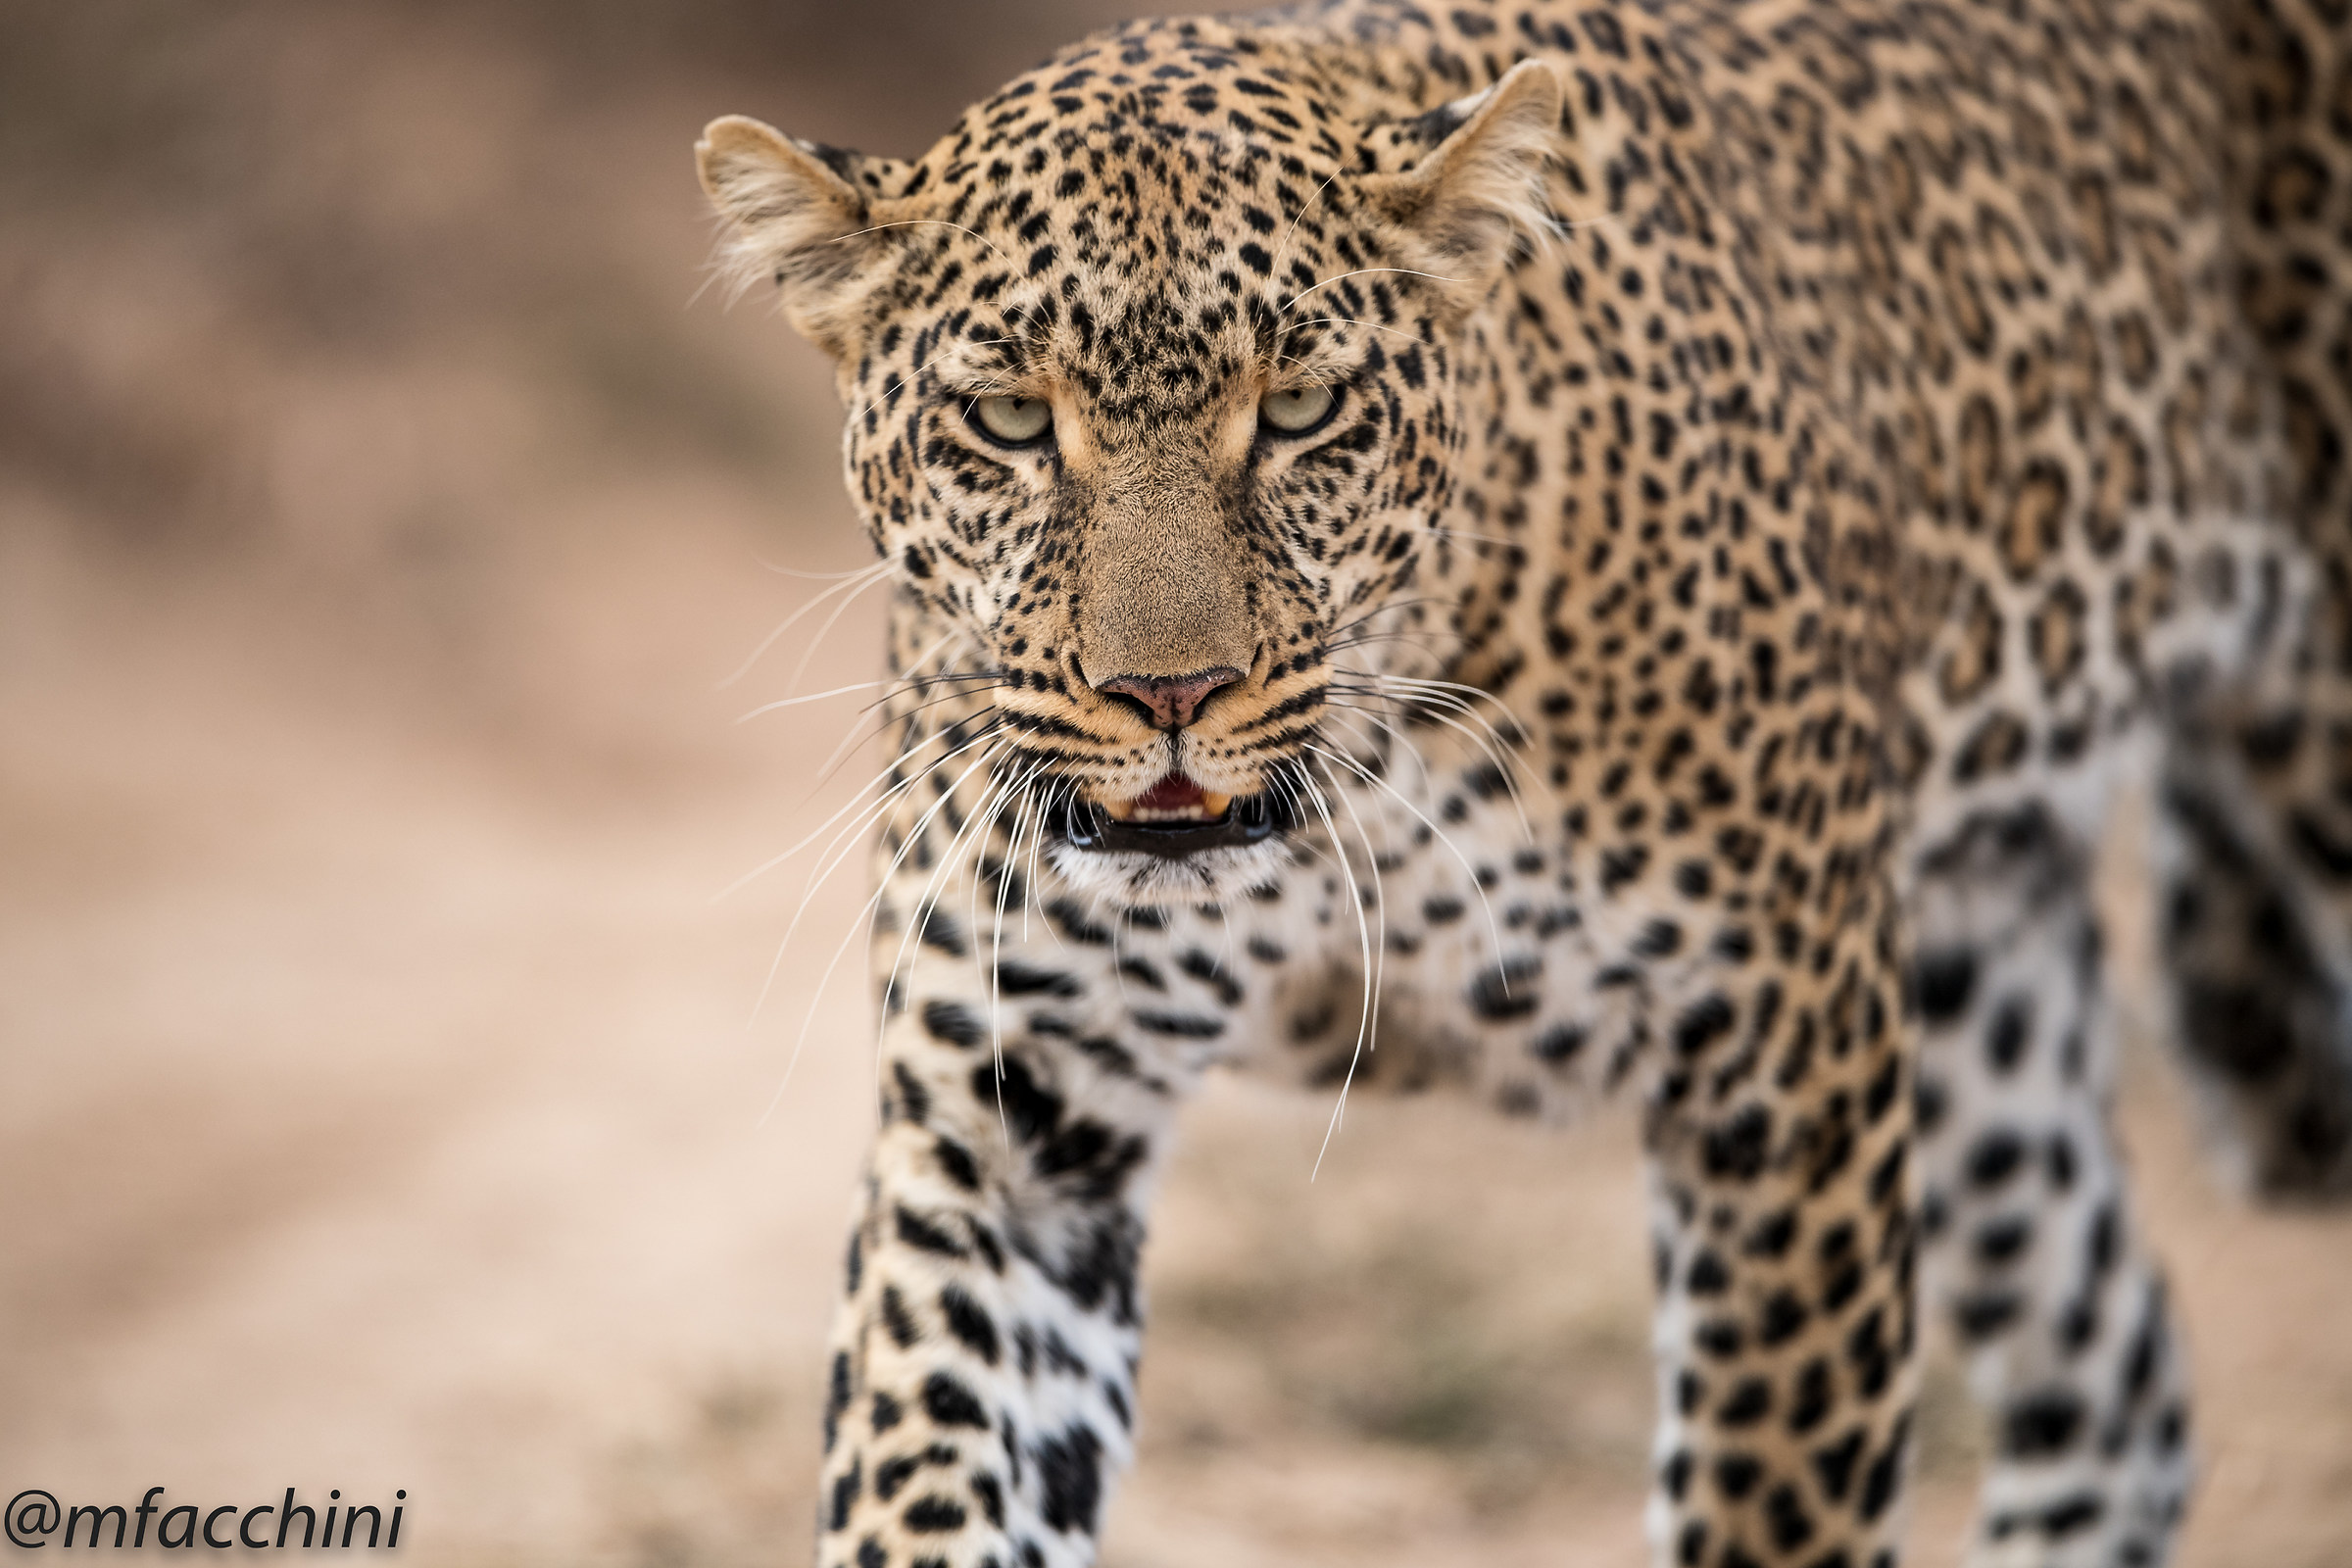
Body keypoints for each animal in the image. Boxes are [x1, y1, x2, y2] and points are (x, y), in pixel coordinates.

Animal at [692, 0, 2352, 1563]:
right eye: (1011, 422)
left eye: (1299, 411)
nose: (1167, 695)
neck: (1350, 803)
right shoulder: (1008, 1128)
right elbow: (927, 1476)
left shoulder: (1782, 1067)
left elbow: (1775, 1500)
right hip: (1974, 998)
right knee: (2120, 1380)